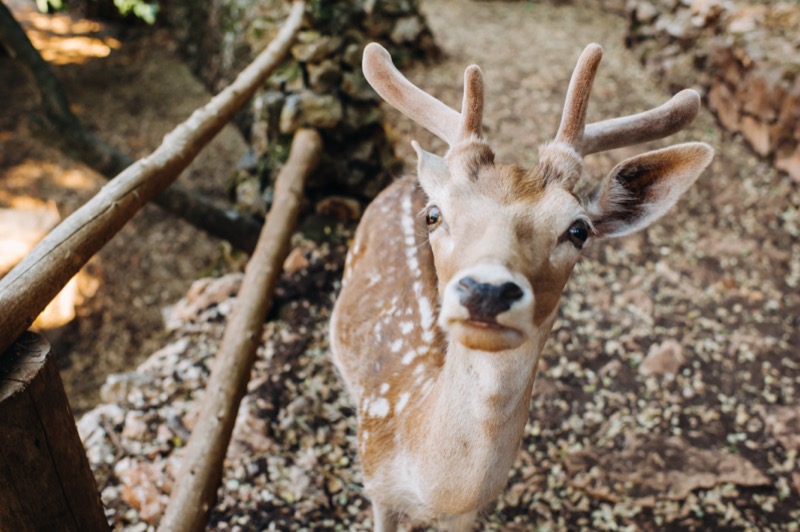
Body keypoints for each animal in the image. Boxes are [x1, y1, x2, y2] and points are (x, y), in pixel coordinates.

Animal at [328, 42, 716, 532]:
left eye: (578, 230)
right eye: (434, 215)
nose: (487, 291)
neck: (436, 488)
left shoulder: (467, 515)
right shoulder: (375, 478)